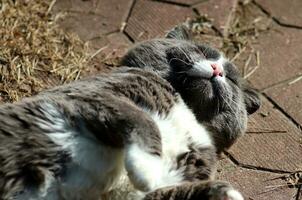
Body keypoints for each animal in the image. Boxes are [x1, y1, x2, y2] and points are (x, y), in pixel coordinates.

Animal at [0, 25, 260, 199]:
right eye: (201, 51)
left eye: (231, 79)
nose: (217, 69)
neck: (188, 110)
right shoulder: (100, 96)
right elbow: (144, 120)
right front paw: (145, 170)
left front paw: (227, 192)